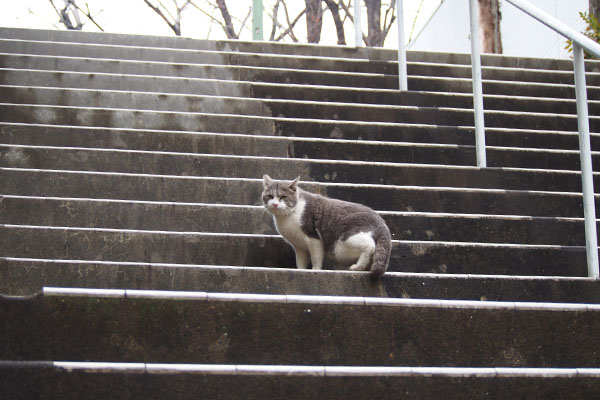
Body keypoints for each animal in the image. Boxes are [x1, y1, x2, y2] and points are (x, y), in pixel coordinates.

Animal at [260, 175, 392, 278]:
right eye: (270, 196)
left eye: (283, 197)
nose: (275, 204)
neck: (288, 215)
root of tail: (381, 222)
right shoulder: (299, 247)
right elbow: (300, 262)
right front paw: (301, 270)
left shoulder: (313, 238)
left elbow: (316, 257)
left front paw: (315, 270)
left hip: (344, 243)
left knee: (370, 246)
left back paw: (357, 267)